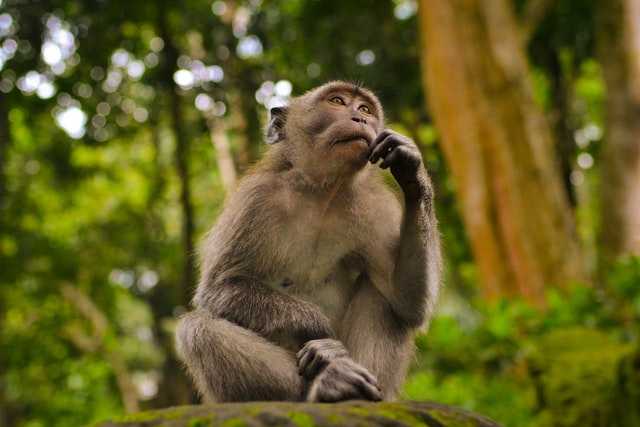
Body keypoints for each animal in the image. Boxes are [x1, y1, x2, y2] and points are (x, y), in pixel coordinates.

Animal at [178, 80, 442, 404]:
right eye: (337, 101)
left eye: (366, 109)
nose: (360, 118)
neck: (322, 192)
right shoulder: (255, 200)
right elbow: (219, 287)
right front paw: (322, 333)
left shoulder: (376, 207)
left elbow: (408, 301)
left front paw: (412, 169)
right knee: (197, 327)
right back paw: (327, 383)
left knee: (383, 296)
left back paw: (362, 391)